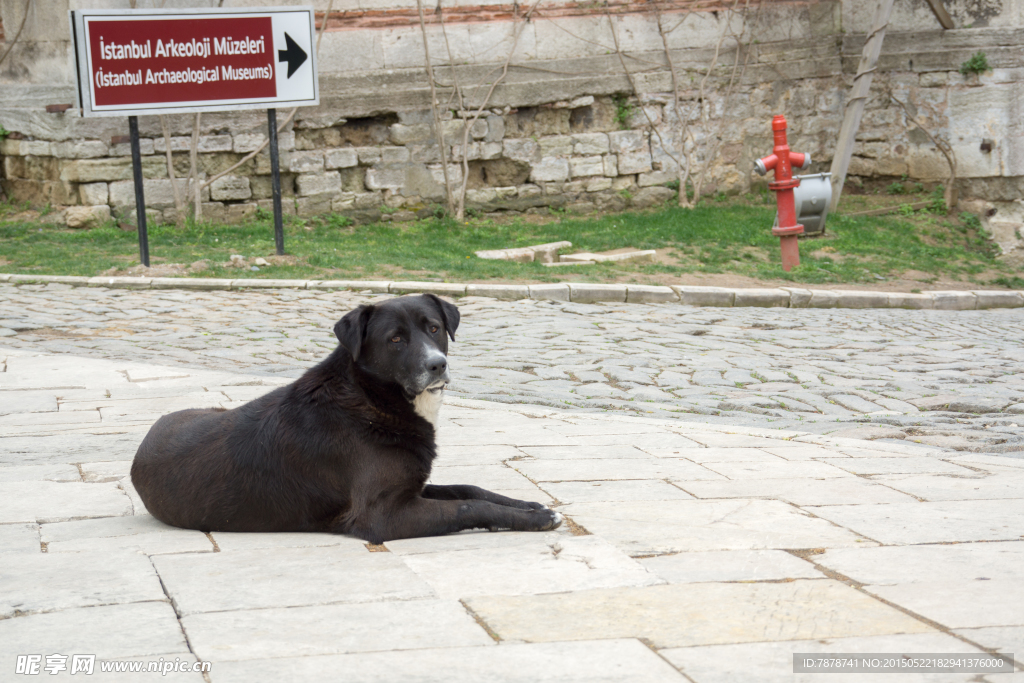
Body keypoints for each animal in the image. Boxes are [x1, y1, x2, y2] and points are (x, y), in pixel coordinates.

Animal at [129, 294, 565, 544]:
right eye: (395, 339)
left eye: (435, 328)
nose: (438, 365)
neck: (369, 397)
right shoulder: (383, 516)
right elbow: (468, 508)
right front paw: (536, 519)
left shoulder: (412, 487)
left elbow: (467, 489)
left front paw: (528, 504)